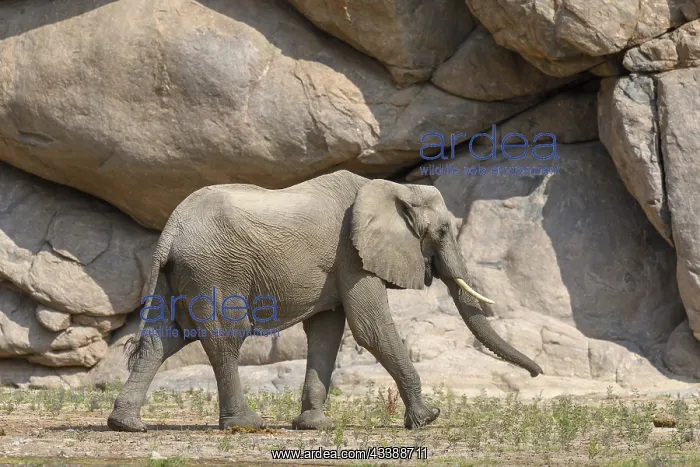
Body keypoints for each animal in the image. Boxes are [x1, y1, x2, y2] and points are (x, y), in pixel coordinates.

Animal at [107, 169, 542, 433]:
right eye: (443, 231)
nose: (536, 374)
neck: (392, 187)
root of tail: (170, 230)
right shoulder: (352, 254)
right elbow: (370, 329)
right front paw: (428, 419)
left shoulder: (341, 262)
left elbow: (327, 332)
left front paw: (315, 426)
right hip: (215, 268)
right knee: (225, 339)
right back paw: (247, 424)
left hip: (179, 273)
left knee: (162, 340)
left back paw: (125, 424)